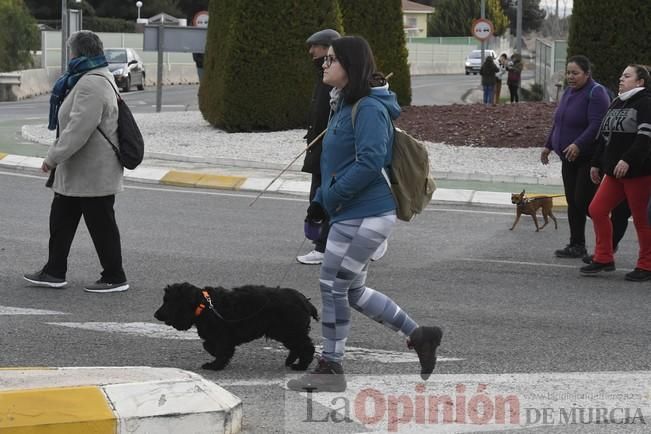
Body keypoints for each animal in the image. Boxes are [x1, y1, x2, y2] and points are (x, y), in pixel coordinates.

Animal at [154, 284, 320, 372]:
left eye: (169, 301)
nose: (156, 315)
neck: (205, 305)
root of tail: (305, 301)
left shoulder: (222, 336)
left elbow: (220, 350)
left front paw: (214, 365)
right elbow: (208, 345)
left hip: (290, 331)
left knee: (307, 347)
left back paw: (301, 365)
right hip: (286, 332)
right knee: (298, 347)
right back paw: (290, 361)